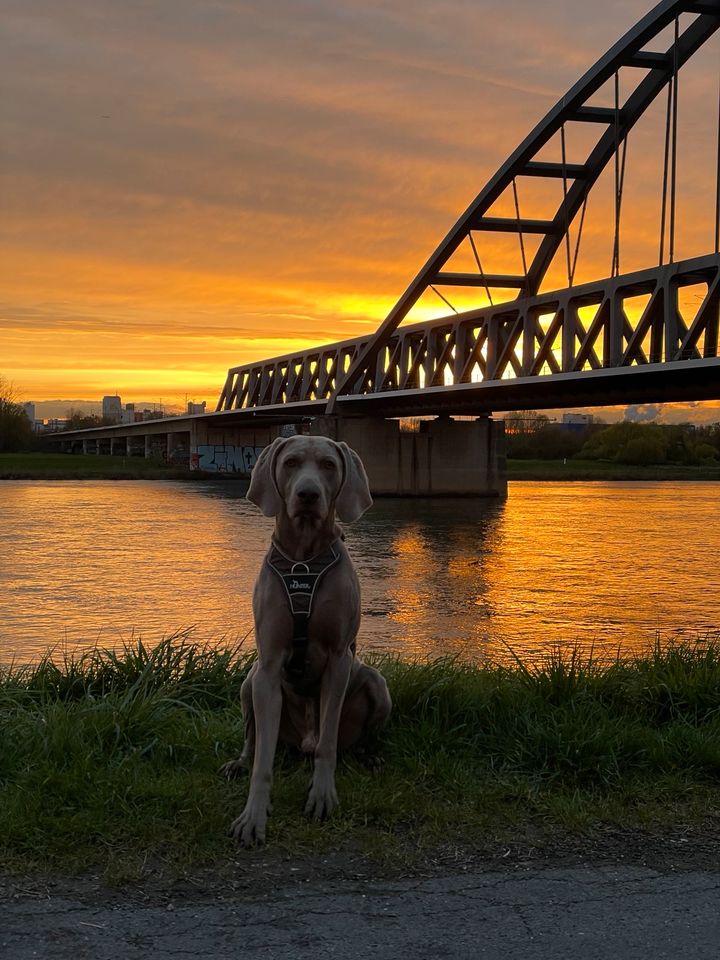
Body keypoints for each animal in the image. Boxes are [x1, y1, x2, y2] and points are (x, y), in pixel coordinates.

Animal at [224, 432, 394, 844]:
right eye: (291, 463)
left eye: (329, 465)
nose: (307, 494)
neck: (302, 559)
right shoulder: (268, 666)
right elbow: (263, 758)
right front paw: (253, 816)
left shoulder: (338, 659)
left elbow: (328, 743)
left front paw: (322, 796)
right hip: (248, 682)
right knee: (252, 739)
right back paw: (238, 763)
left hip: (377, 684)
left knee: (353, 737)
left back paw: (369, 756)